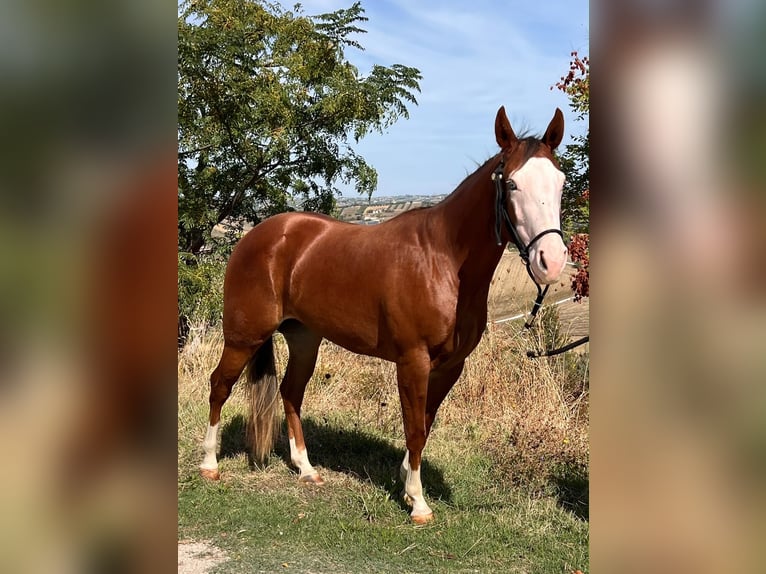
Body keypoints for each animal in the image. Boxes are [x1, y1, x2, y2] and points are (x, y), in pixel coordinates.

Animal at [200, 106, 568, 524]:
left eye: (560, 182)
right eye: (512, 184)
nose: (552, 261)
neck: (442, 260)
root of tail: (256, 234)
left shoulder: (449, 366)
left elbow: (425, 423)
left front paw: (407, 483)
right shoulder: (413, 362)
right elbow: (415, 428)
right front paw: (418, 502)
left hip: (304, 339)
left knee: (291, 392)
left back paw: (306, 469)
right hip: (244, 336)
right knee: (220, 385)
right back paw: (210, 464)